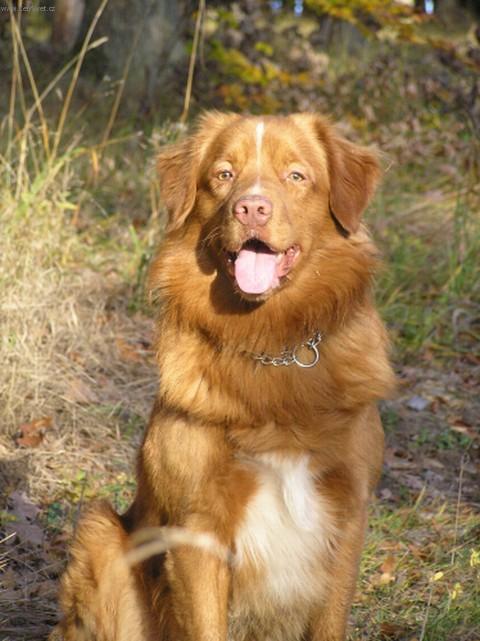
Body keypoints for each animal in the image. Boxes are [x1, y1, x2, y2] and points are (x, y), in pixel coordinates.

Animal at [52, 112, 396, 640]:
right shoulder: (199, 527)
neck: (268, 345)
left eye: (296, 176)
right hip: (102, 533)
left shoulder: (348, 513)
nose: (251, 208)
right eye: (224, 175)